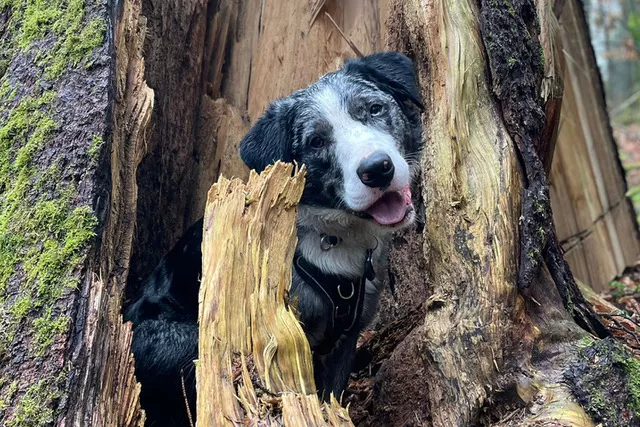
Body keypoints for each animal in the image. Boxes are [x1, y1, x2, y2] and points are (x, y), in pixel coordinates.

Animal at [125, 51, 424, 426]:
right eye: (316, 141)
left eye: (374, 109)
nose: (377, 169)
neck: (333, 237)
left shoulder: (346, 341)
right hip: (187, 342)